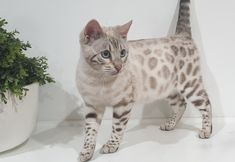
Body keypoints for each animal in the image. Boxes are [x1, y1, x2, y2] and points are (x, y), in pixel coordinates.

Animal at [76, 0, 212, 161]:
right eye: (105, 54)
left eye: (123, 53)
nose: (119, 67)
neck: (98, 79)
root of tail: (181, 34)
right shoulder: (92, 106)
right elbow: (90, 132)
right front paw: (86, 152)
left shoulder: (123, 104)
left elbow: (117, 128)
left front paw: (111, 146)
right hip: (167, 88)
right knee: (181, 104)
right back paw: (170, 125)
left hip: (190, 85)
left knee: (206, 103)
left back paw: (207, 131)